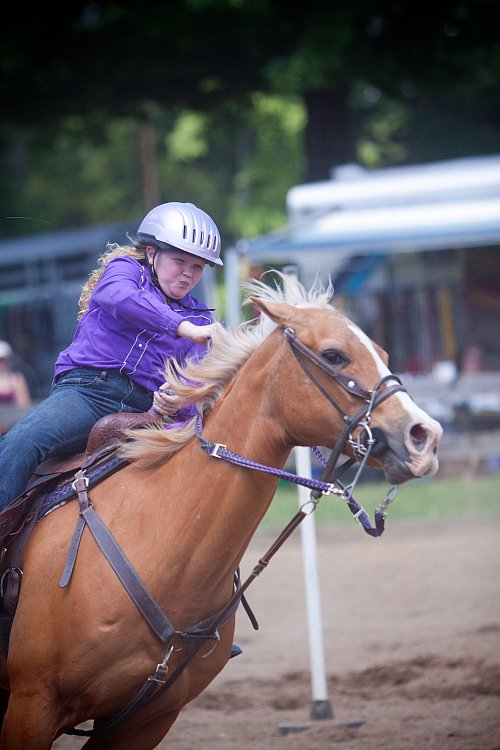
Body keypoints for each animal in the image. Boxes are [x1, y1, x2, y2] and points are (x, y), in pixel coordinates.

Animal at [0, 274, 442, 750]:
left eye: (382, 355)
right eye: (333, 354)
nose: (424, 435)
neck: (161, 545)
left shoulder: (146, 721)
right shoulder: (32, 705)